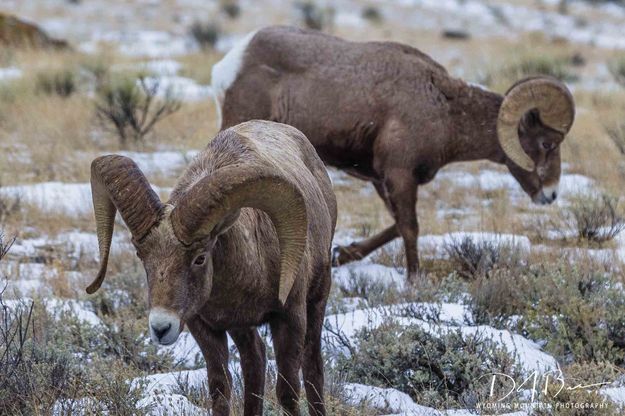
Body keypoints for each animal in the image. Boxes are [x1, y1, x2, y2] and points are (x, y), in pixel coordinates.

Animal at [86, 120, 336, 416]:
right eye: (141, 255)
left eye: (200, 258)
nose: (160, 328)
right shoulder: (204, 327)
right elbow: (220, 389)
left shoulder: (289, 318)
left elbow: (288, 391)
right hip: (241, 329)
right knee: (255, 360)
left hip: (317, 298)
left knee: (311, 366)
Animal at [211, 26, 576, 282]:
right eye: (547, 144)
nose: (551, 194)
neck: (444, 110)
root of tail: (231, 65)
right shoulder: (400, 176)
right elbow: (410, 227)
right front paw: (414, 282)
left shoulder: (383, 180)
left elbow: (396, 226)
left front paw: (343, 254)